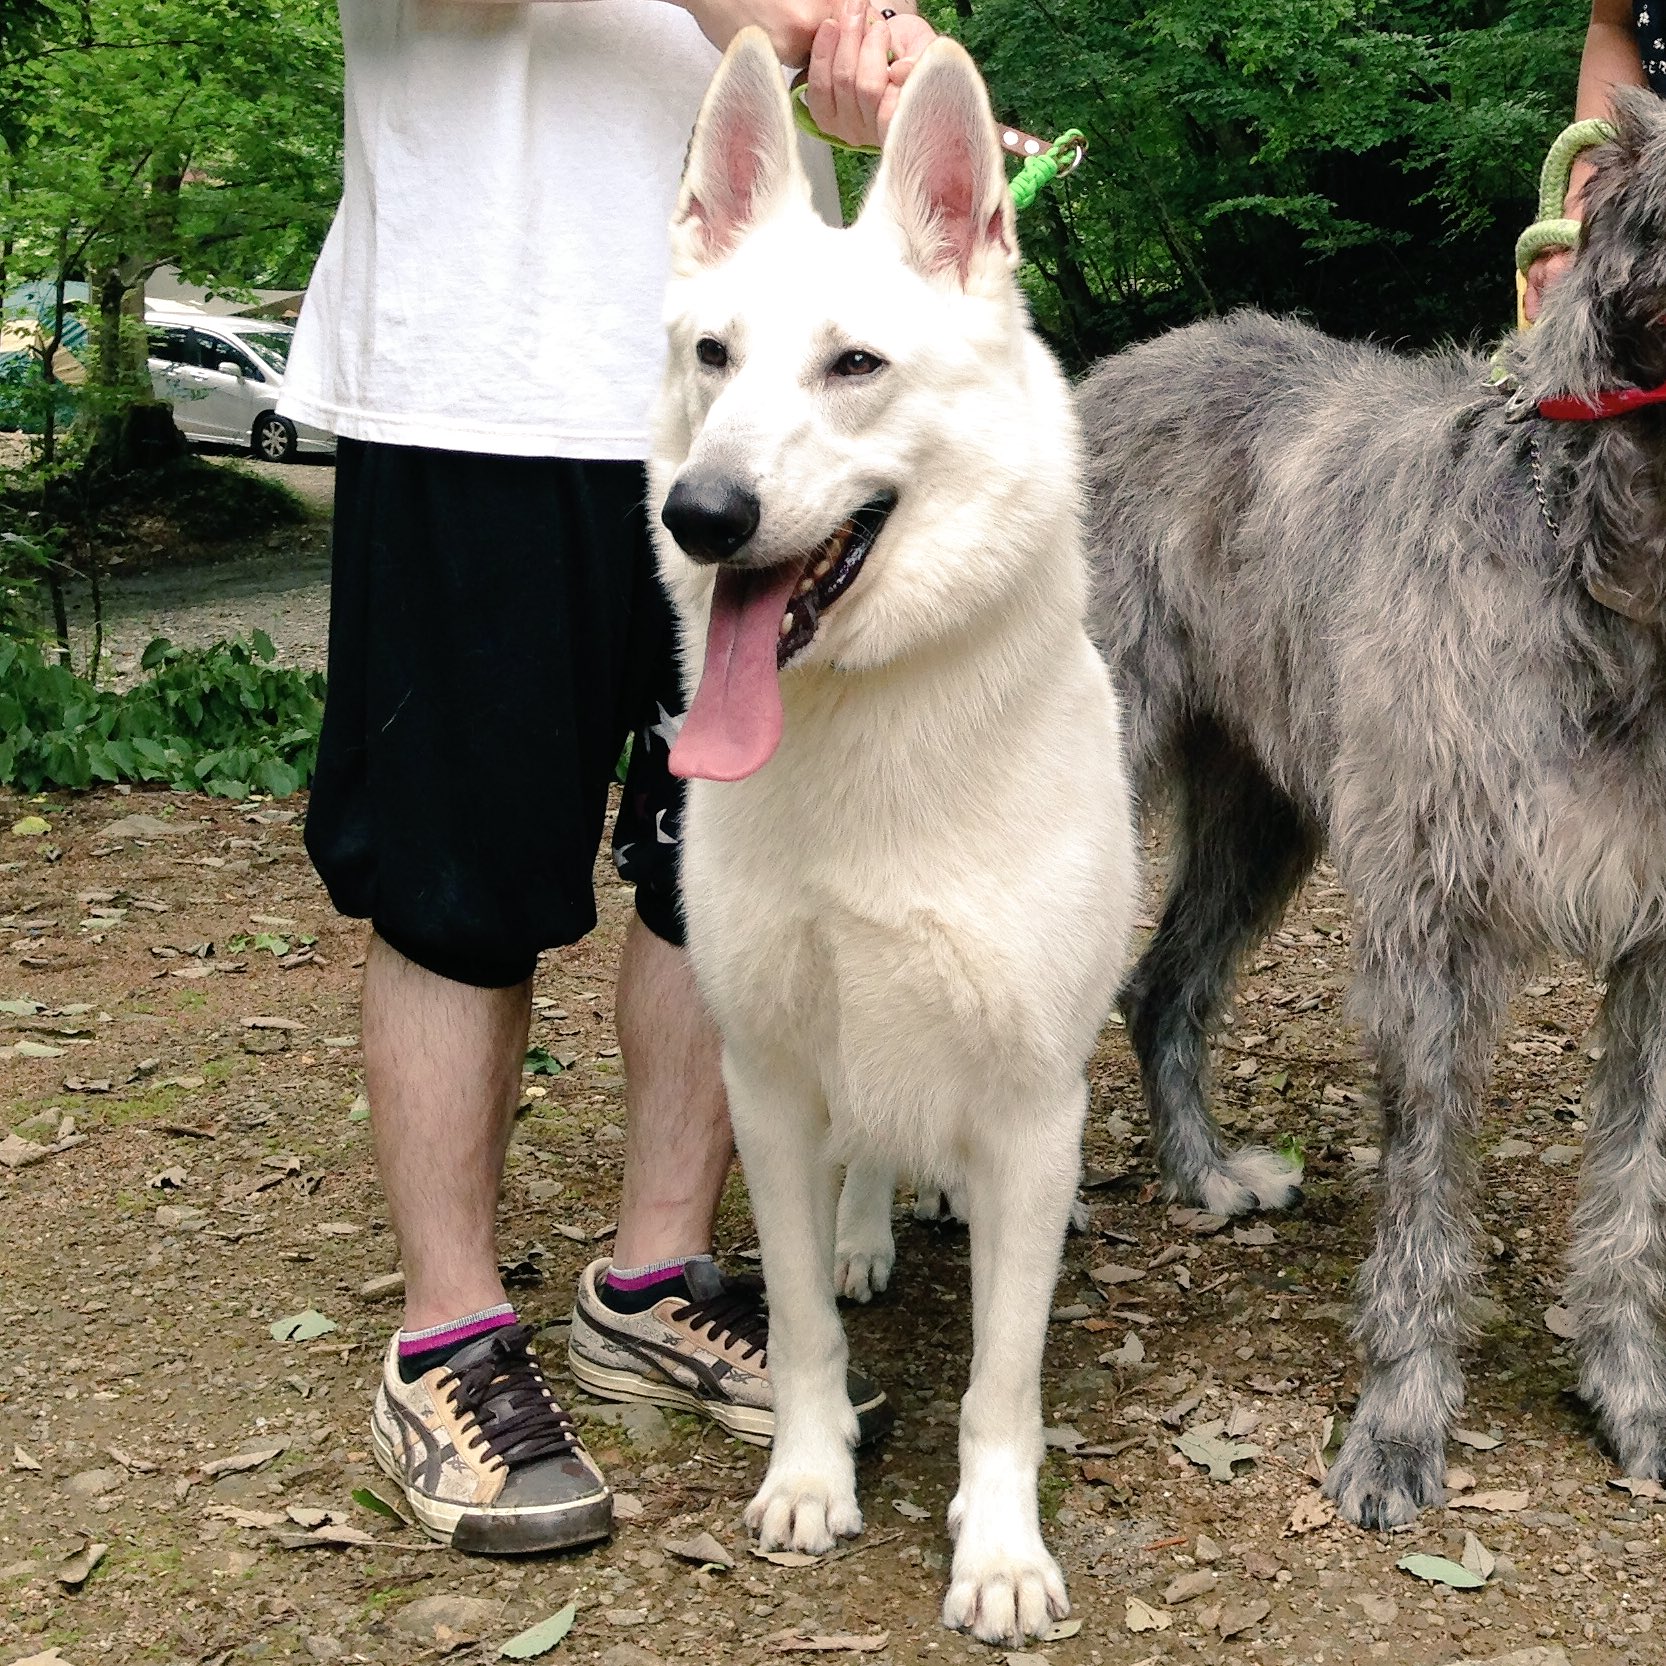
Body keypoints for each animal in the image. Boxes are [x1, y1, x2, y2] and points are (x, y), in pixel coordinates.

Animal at [643, 32, 1139, 1646]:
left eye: (853, 365)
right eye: (712, 356)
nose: (702, 513)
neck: (869, 725)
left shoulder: (1032, 1112)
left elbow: (1002, 1380)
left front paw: (999, 1549)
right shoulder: (771, 1078)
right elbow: (799, 1320)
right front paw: (809, 1476)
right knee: (866, 1161)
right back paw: (869, 1225)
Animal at [1079, 87, 1666, 1526]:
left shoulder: (1654, 944)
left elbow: (1630, 1187)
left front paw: (1627, 1392)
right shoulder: (1428, 926)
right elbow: (1421, 1199)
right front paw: (1398, 1425)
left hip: (1262, 813)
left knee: (1162, 985)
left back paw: (1202, 1173)